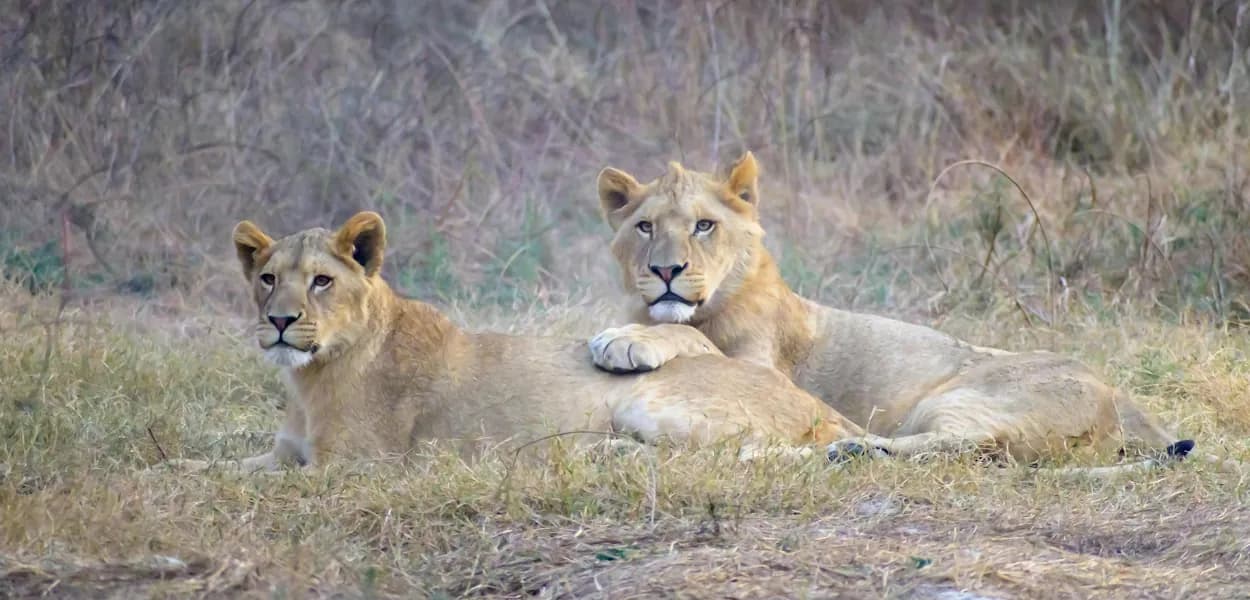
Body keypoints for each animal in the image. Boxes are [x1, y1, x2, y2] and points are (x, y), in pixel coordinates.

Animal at [162, 211, 875, 474]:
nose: (281, 322)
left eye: (321, 282)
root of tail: (813, 402)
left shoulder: (358, 467)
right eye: (267, 279)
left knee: (726, 457)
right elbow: (202, 470)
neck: (307, 378)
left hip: (650, 401)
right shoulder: (284, 452)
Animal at [587, 152, 1240, 475]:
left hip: (956, 397)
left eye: (704, 225)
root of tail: (1118, 395)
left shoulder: (765, 373)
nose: (666, 271)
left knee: (958, 446)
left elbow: (693, 343)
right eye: (645, 226)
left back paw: (846, 451)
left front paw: (624, 340)